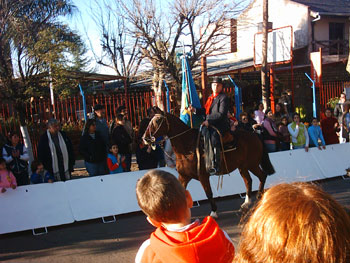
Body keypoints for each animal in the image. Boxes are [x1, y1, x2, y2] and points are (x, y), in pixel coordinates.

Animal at [141, 110, 274, 218]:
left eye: (157, 121)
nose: (145, 138)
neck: (188, 147)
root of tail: (254, 134)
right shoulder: (184, 177)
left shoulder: (203, 176)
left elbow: (209, 193)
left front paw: (214, 212)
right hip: (243, 167)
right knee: (248, 181)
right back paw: (246, 203)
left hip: (252, 164)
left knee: (262, 176)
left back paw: (259, 199)